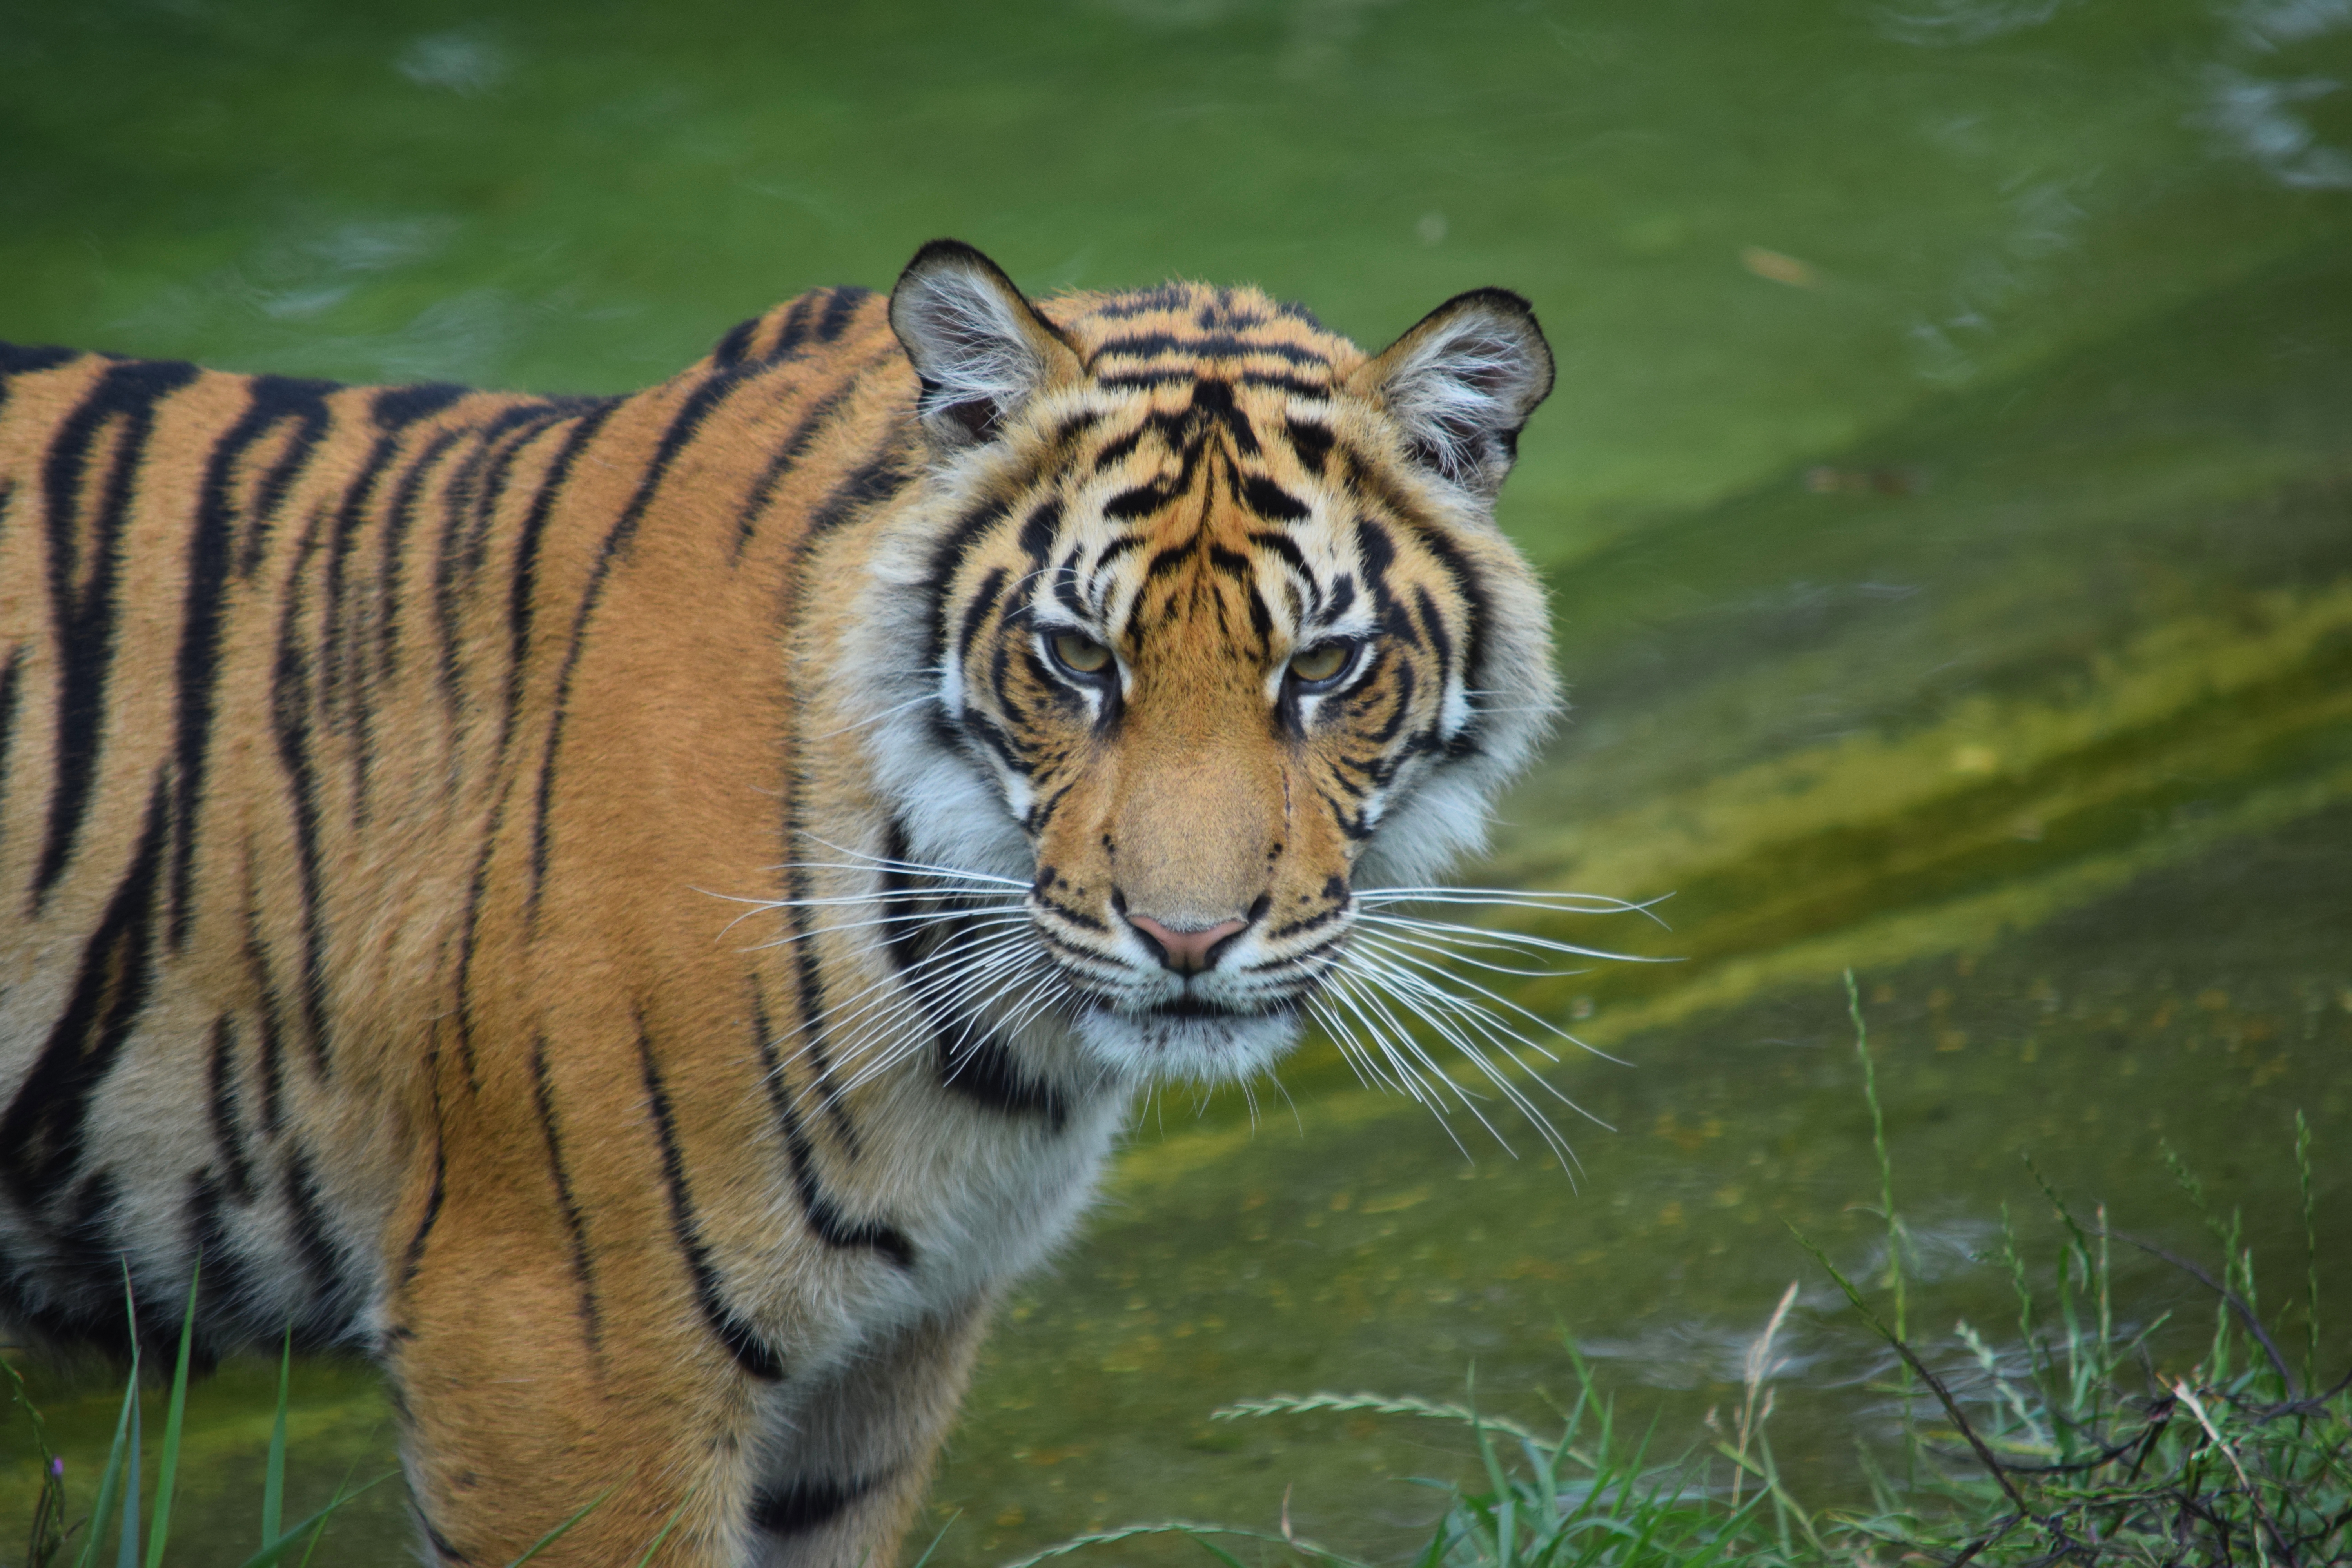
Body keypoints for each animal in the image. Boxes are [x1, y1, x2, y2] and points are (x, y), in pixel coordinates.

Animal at [0, 240, 1562, 1561]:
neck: (985, 1056)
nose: (1188, 938)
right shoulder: (556, 1345)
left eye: (1321, 667)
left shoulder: (876, 1363)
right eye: (1075, 656)